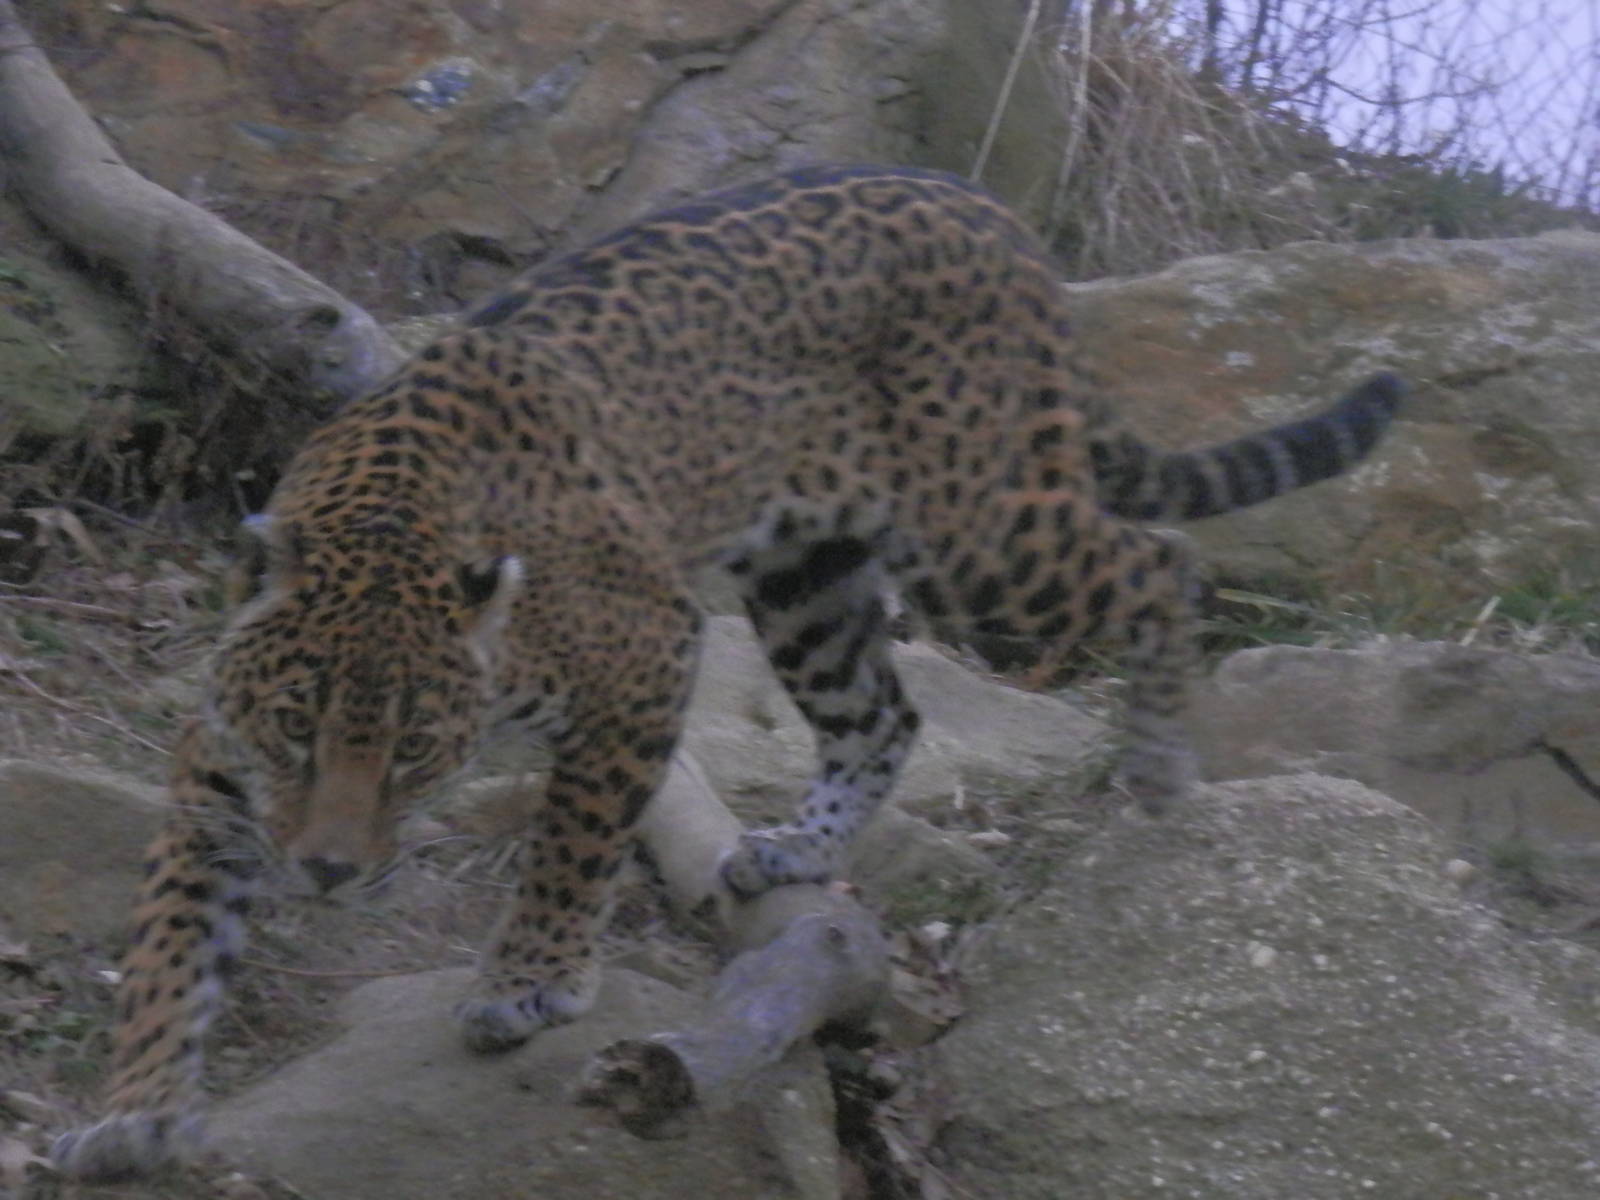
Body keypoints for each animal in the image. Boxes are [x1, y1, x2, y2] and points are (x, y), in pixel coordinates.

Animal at [53, 163, 1402, 1179]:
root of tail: (987, 210)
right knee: (886, 711)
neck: (389, 519)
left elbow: (572, 841)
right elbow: (173, 936)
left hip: (976, 525)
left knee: (1156, 558)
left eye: (417, 755)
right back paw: (796, 852)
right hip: (808, 575)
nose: (330, 872)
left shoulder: (646, 649)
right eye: (296, 732)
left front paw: (529, 987)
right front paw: (133, 1113)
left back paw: (1163, 764)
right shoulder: (214, 762)